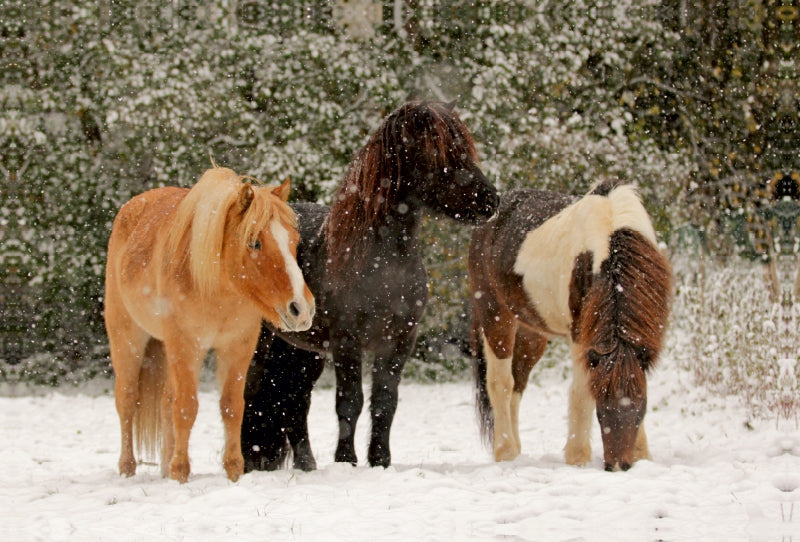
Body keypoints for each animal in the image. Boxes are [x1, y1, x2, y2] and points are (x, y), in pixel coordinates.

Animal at [105, 167, 316, 484]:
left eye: (293, 240)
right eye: (254, 242)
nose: (301, 309)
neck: (216, 289)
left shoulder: (237, 348)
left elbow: (232, 406)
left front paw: (233, 471)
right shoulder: (186, 346)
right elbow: (186, 407)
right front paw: (181, 473)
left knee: (165, 401)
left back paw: (164, 469)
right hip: (128, 339)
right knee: (128, 401)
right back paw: (128, 469)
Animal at [241, 101, 496, 472]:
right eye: (436, 151)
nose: (491, 201)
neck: (382, 268)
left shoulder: (398, 342)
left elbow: (385, 401)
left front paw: (380, 461)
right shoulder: (348, 342)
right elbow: (350, 402)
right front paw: (346, 461)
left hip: (301, 350)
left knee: (294, 403)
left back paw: (306, 466)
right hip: (263, 345)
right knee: (252, 394)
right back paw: (250, 463)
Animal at [466, 183, 672, 472]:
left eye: (640, 406)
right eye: (601, 408)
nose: (618, 466)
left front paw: (642, 455)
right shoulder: (581, 337)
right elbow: (580, 394)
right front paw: (578, 457)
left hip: (531, 333)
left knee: (517, 386)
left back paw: (516, 451)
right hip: (495, 316)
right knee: (500, 384)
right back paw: (505, 452)